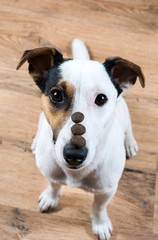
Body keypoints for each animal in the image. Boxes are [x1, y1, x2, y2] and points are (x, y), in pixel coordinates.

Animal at [17, 38, 144, 239]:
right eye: (56, 94)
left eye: (101, 98)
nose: (74, 155)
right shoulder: (51, 172)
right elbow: (54, 185)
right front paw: (51, 197)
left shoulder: (107, 190)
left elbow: (99, 207)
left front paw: (100, 224)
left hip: (123, 110)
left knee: (128, 127)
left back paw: (129, 143)